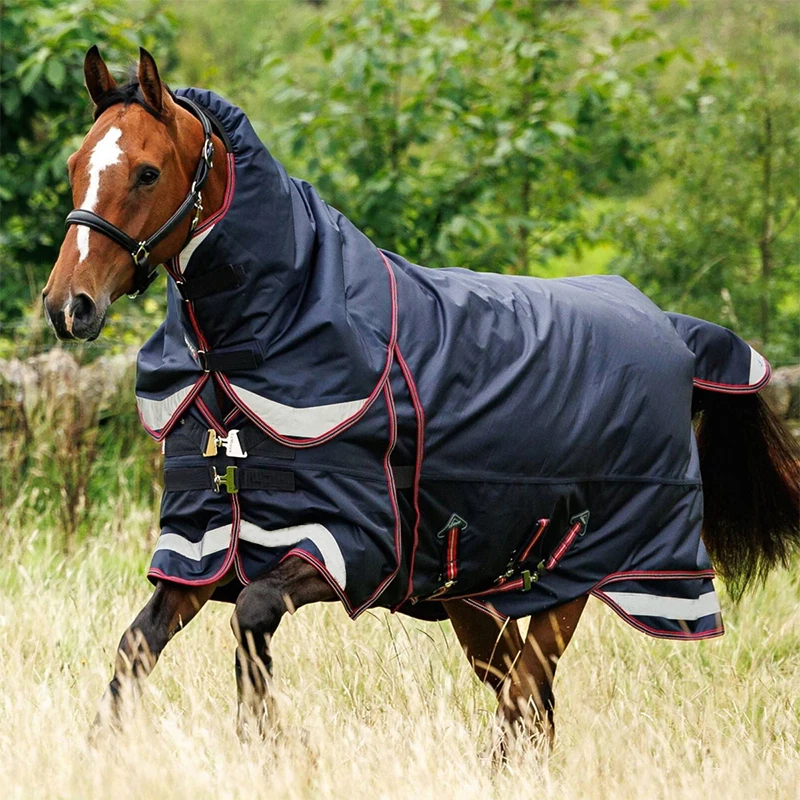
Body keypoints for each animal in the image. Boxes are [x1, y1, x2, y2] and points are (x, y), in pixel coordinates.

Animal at [43, 47, 800, 748]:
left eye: (146, 171)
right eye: (76, 165)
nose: (67, 305)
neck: (244, 351)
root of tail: (673, 331)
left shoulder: (345, 546)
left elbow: (251, 613)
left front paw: (265, 740)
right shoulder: (202, 548)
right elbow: (136, 646)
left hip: (590, 570)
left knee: (525, 701)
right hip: (474, 595)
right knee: (529, 701)